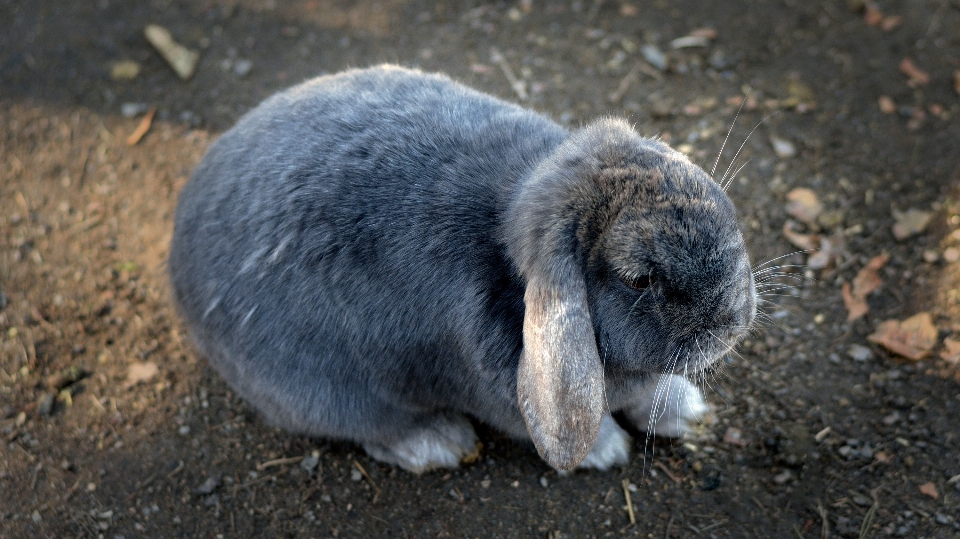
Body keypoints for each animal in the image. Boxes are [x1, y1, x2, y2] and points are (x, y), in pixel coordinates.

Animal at [172, 65, 756, 474]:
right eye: (639, 278)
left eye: (713, 194)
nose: (734, 319)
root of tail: (180, 249)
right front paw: (606, 451)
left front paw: (686, 409)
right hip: (335, 395)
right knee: (373, 429)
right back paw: (440, 444)